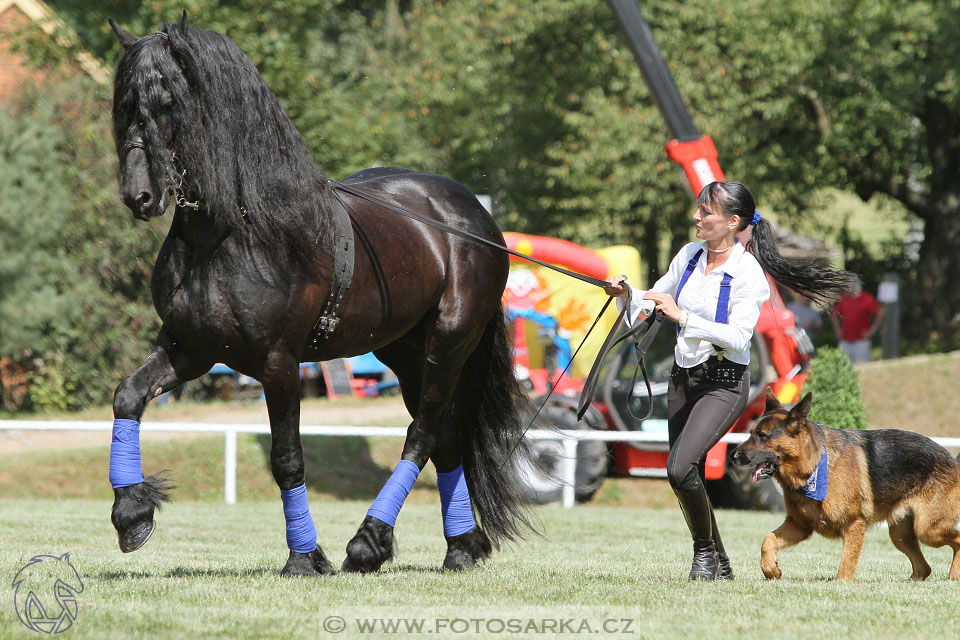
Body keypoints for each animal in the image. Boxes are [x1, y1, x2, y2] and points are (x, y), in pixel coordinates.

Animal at [109, 15, 536, 576]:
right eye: (124, 105)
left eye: (167, 101)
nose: (138, 197)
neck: (233, 235)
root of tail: (474, 215)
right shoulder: (190, 350)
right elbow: (128, 396)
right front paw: (132, 514)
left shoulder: (278, 363)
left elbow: (287, 458)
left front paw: (304, 558)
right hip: (406, 353)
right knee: (444, 439)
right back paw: (461, 547)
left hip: (449, 345)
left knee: (422, 435)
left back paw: (370, 542)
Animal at [736, 388, 960, 584]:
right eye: (750, 433)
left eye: (762, 435)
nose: (734, 456)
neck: (813, 465)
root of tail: (952, 460)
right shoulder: (799, 525)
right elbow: (768, 541)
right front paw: (771, 570)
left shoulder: (854, 524)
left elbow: (847, 561)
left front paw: (841, 585)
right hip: (901, 534)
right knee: (924, 568)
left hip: (928, 529)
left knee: (957, 540)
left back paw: (954, 575)